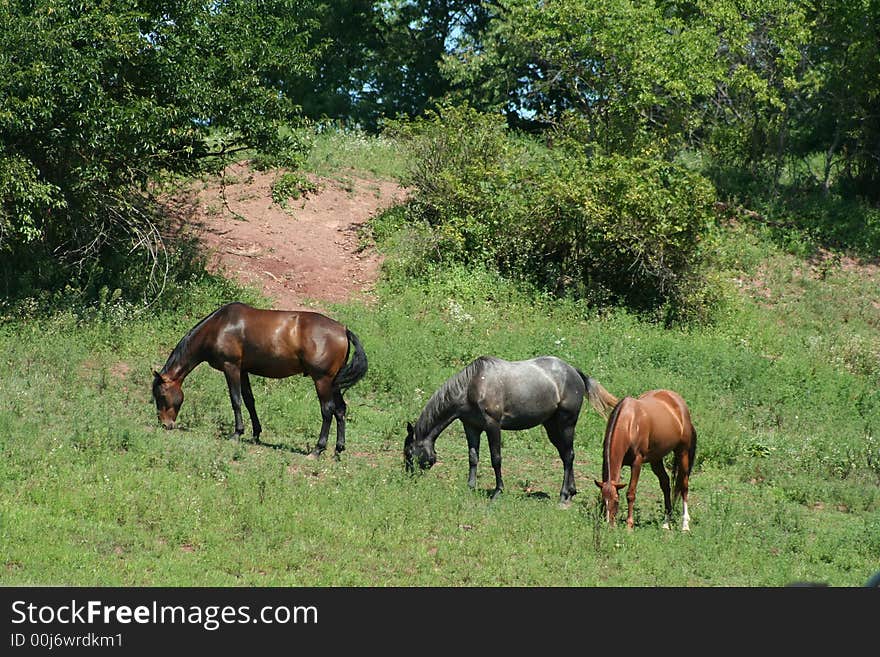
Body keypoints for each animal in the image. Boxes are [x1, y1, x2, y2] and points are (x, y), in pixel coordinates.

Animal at [151, 302, 368, 458]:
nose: (165, 424)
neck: (219, 326)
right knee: (340, 410)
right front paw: (255, 433)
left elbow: (236, 400)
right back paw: (338, 449)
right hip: (334, 383)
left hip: (322, 381)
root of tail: (343, 329)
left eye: (161, 395)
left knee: (328, 411)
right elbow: (249, 401)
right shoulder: (243, 370)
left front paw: (236, 433)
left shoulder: (231, 367)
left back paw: (317, 449)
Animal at [402, 356, 616, 504]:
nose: (408, 476)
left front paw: (498, 492)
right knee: (566, 456)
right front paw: (470, 487)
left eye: (409, 452)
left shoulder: (492, 425)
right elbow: (473, 457)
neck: (473, 385)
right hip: (552, 426)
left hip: (566, 424)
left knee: (569, 456)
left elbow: (496, 458)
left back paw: (564, 495)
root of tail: (575, 372)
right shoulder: (471, 427)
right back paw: (571, 492)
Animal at [596, 390, 696, 528]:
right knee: (665, 484)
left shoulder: (637, 463)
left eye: (616, 500)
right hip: (656, 459)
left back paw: (685, 525)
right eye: (604, 499)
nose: (608, 524)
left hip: (683, 453)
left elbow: (631, 493)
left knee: (684, 486)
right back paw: (666, 523)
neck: (629, 423)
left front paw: (629, 525)